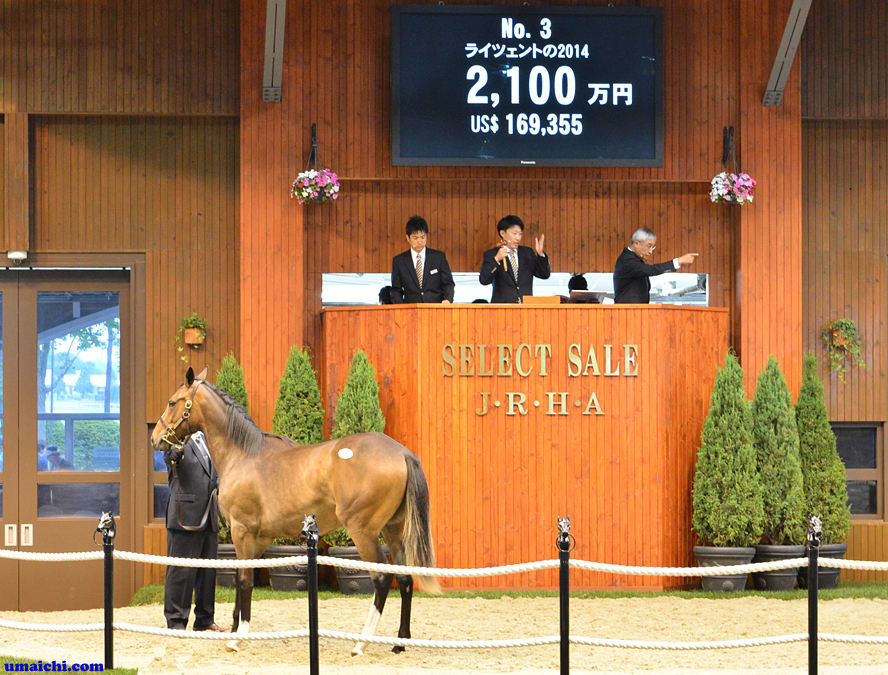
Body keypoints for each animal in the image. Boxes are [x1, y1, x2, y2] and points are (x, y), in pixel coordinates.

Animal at [151, 368, 438, 656]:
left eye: (172, 402)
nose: (155, 438)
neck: (243, 455)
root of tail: (401, 453)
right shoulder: (259, 538)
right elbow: (241, 577)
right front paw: (234, 630)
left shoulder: (242, 531)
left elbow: (244, 581)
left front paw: (237, 638)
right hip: (393, 530)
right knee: (404, 578)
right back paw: (400, 643)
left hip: (363, 532)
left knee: (381, 578)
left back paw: (361, 643)